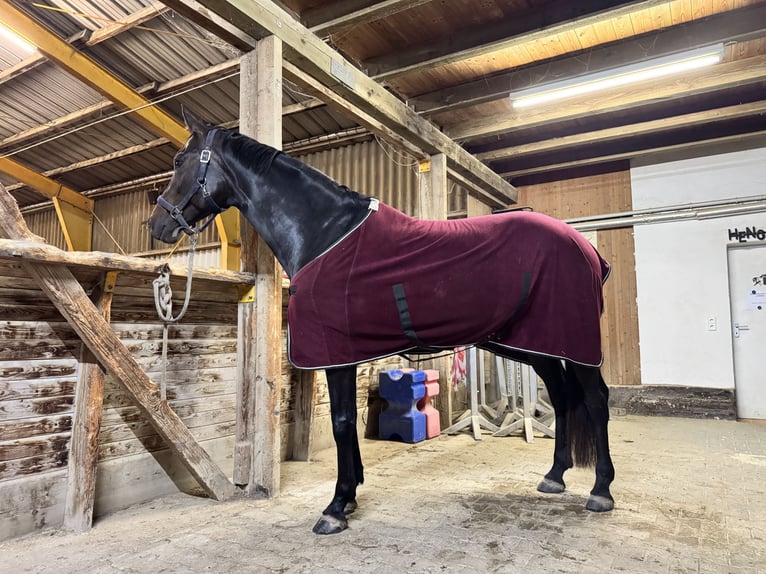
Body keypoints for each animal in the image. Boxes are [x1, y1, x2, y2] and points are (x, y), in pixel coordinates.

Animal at [148, 110, 616, 536]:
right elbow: (348, 421)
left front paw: (336, 507)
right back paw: (554, 476)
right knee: (561, 396)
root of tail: (585, 247)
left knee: (595, 401)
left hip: (574, 345)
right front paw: (352, 494)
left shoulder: (335, 353)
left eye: (178, 160)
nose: (156, 225)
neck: (322, 231)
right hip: (538, 345)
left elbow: (341, 422)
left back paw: (601, 490)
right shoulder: (347, 352)